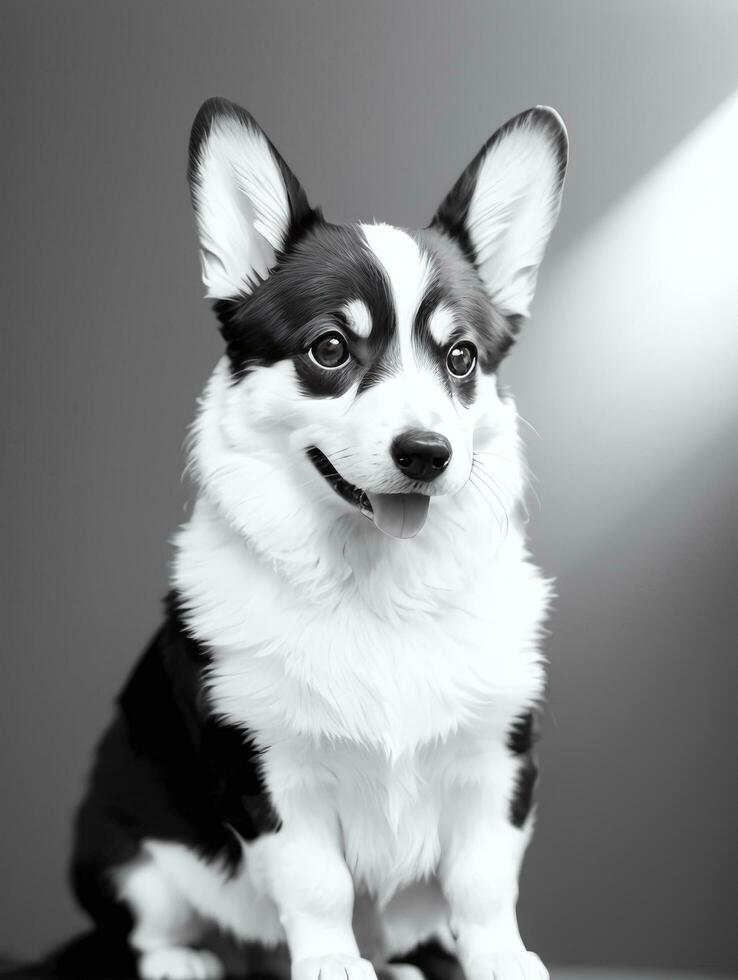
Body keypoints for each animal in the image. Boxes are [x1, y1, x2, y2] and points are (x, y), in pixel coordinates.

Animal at [67, 97, 564, 980]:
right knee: (148, 925)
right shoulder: (270, 776)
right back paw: (186, 961)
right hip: (127, 854)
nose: (427, 453)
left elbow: (482, 882)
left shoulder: (498, 759)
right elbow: (318, 884)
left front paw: (502, 961)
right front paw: (333, 963)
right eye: (330, 349)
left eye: (462, 359)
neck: (378, 586)